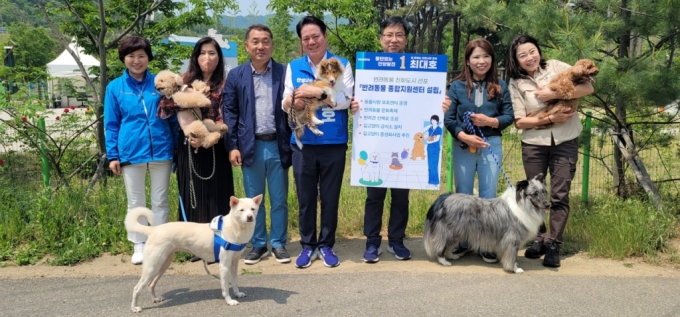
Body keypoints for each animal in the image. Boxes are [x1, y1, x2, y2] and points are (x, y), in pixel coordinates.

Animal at [123, 193, 262, 312]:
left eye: (253, 209)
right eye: (241, 210)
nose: (250, 217)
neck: (235, 228)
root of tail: (154, 229)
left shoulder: (234, 263)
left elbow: (234, 282)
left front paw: (237, 294)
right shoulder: (224, 266)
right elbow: (225, 288)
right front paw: (229, 301)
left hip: (162, 264)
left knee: (151, 284)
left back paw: (155, 299)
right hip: (153, 266)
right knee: (137, 288)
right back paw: (134, 308)